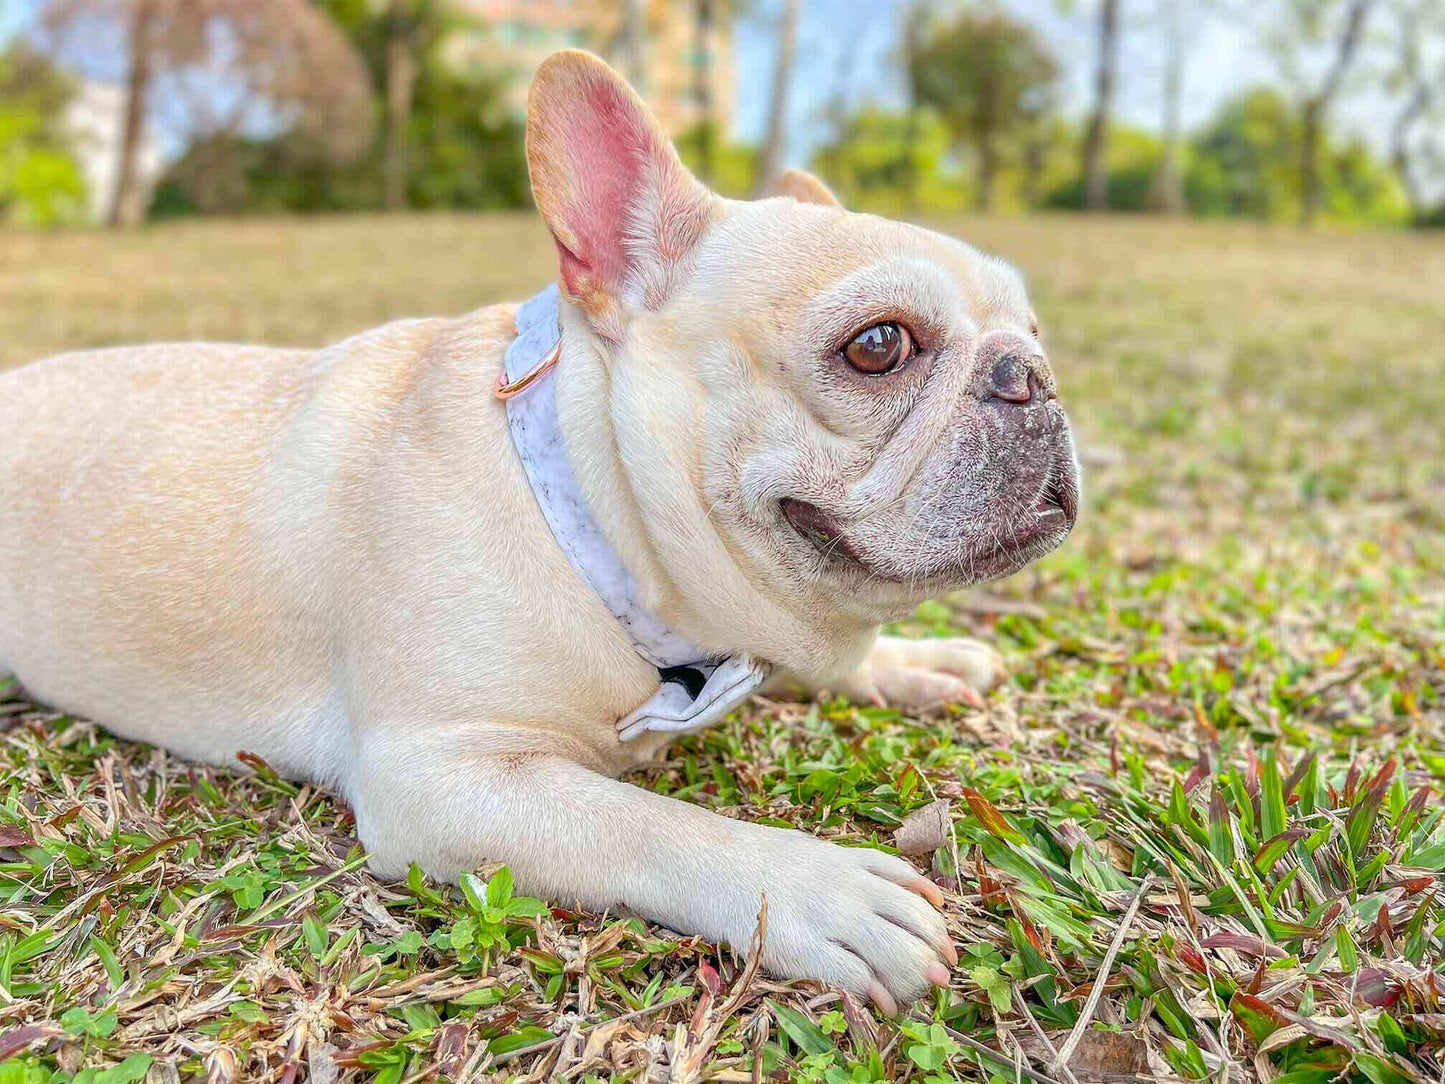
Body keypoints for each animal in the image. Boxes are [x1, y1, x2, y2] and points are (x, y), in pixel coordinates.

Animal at [0, 53, 1075, 1017]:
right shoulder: (441, 778)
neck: (587, 524)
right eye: (878, 346)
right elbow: (643, 823)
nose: (1029, 374)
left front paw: (914, 661)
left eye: (1033, 332)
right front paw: (821, 890)